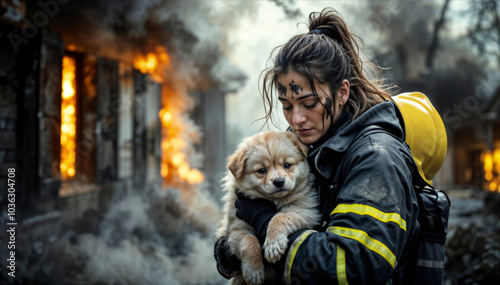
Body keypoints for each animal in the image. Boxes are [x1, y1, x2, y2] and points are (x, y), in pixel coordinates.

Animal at [216, 131, 320, 284]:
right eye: (262, 170)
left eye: (287, 165)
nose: (279, 182)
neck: (273, 201)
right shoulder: (235, 230)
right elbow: (249, 241)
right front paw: (254, 271)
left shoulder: (305, 212)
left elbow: (279, 217)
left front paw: (273, 245)